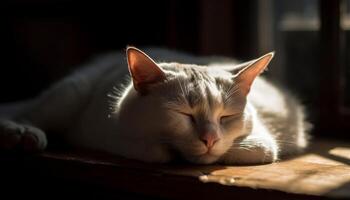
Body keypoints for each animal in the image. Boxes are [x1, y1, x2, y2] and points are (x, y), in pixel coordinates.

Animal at [0, 46, 308, 164]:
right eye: (184, 113)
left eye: (226, 117)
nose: (209, 139)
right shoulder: (115, 133)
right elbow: (156, 152)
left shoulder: (266, 142)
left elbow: (255, 148)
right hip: (70, 94)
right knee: (22, 112)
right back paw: (22, 134)